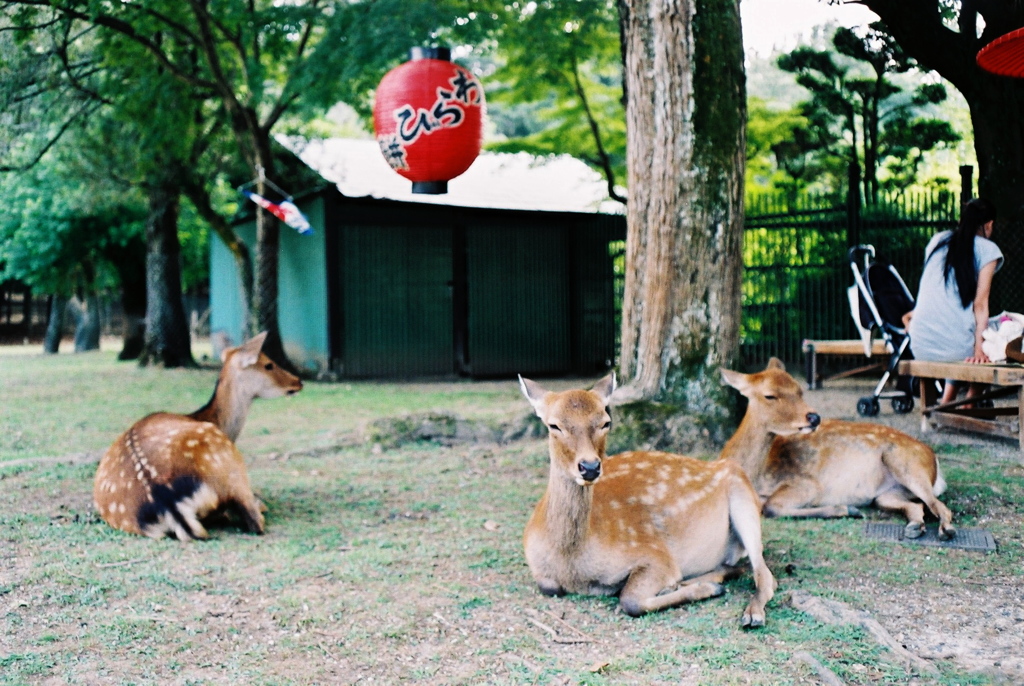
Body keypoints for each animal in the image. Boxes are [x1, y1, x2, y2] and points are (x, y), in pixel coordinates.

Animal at [520, 376, 774, 630]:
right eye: (554, 425)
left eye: (605, 423)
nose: (590, 467)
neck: (572, 563)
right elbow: (550, 587)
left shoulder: (655, 554)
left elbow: (630, 600)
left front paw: (703, 588)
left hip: (744, 498)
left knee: (764, 574)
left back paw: (750, 613)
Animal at [720, 360, 950, 544]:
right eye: (769, 395)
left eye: (799, 390)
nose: (814, 417)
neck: (756, 480)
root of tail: (936, 462)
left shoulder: (807, 483)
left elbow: (769, 507)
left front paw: (849, 509)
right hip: (887, 494)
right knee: (916, 506)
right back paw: (914, 527)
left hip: (906, 463)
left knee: (938, 505)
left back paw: (946, 530)